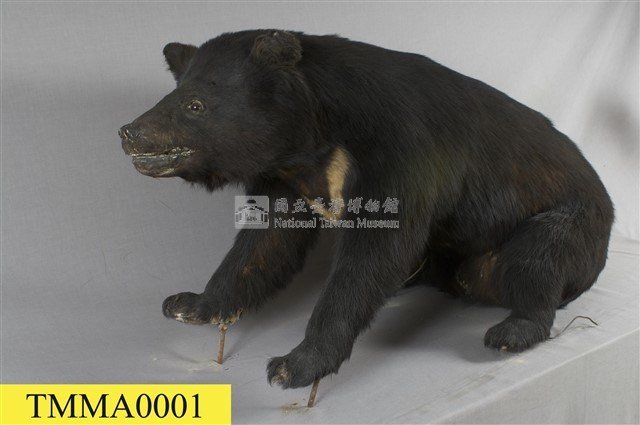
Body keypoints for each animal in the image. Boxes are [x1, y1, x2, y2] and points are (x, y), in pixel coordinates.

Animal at [119, 30, 614, 390]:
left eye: (195, 105)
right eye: (169, 97)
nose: (129, 132)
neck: (315, 138)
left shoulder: (403, 150)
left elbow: (373, 253)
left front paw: (294, 364)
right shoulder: (285, 175)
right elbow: (265, 241)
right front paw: (189, 304)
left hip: (568, 221)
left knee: (536, 260)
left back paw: (512, 331)